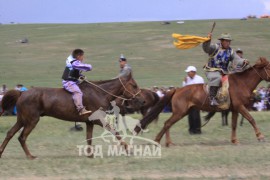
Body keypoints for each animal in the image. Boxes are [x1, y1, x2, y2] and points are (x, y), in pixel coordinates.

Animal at [0, 73, 142, 159]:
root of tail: (21, 93)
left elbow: (89, 138)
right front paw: (129, 149)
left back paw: (1, 152)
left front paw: (90, 154)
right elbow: (115, 132)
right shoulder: (99, 120)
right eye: (134, 85)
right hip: (32, 120)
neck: (100, 93)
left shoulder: (89, 122)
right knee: (22, 137)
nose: (142, 100)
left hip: (22, 120)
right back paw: (30, 156)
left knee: (10, 133)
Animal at [134, 57, 268, 146]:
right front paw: (260, 136)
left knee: (168, 124)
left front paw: (234, 140)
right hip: (179, 112)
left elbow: (234, 125)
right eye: (269, 67)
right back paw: (161, 141)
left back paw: (165, 141)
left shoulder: (235, 109)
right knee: (167, 123)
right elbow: (251, 119)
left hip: (183, 112)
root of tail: (177, 90)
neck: (241, 83)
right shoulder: (240, 107)